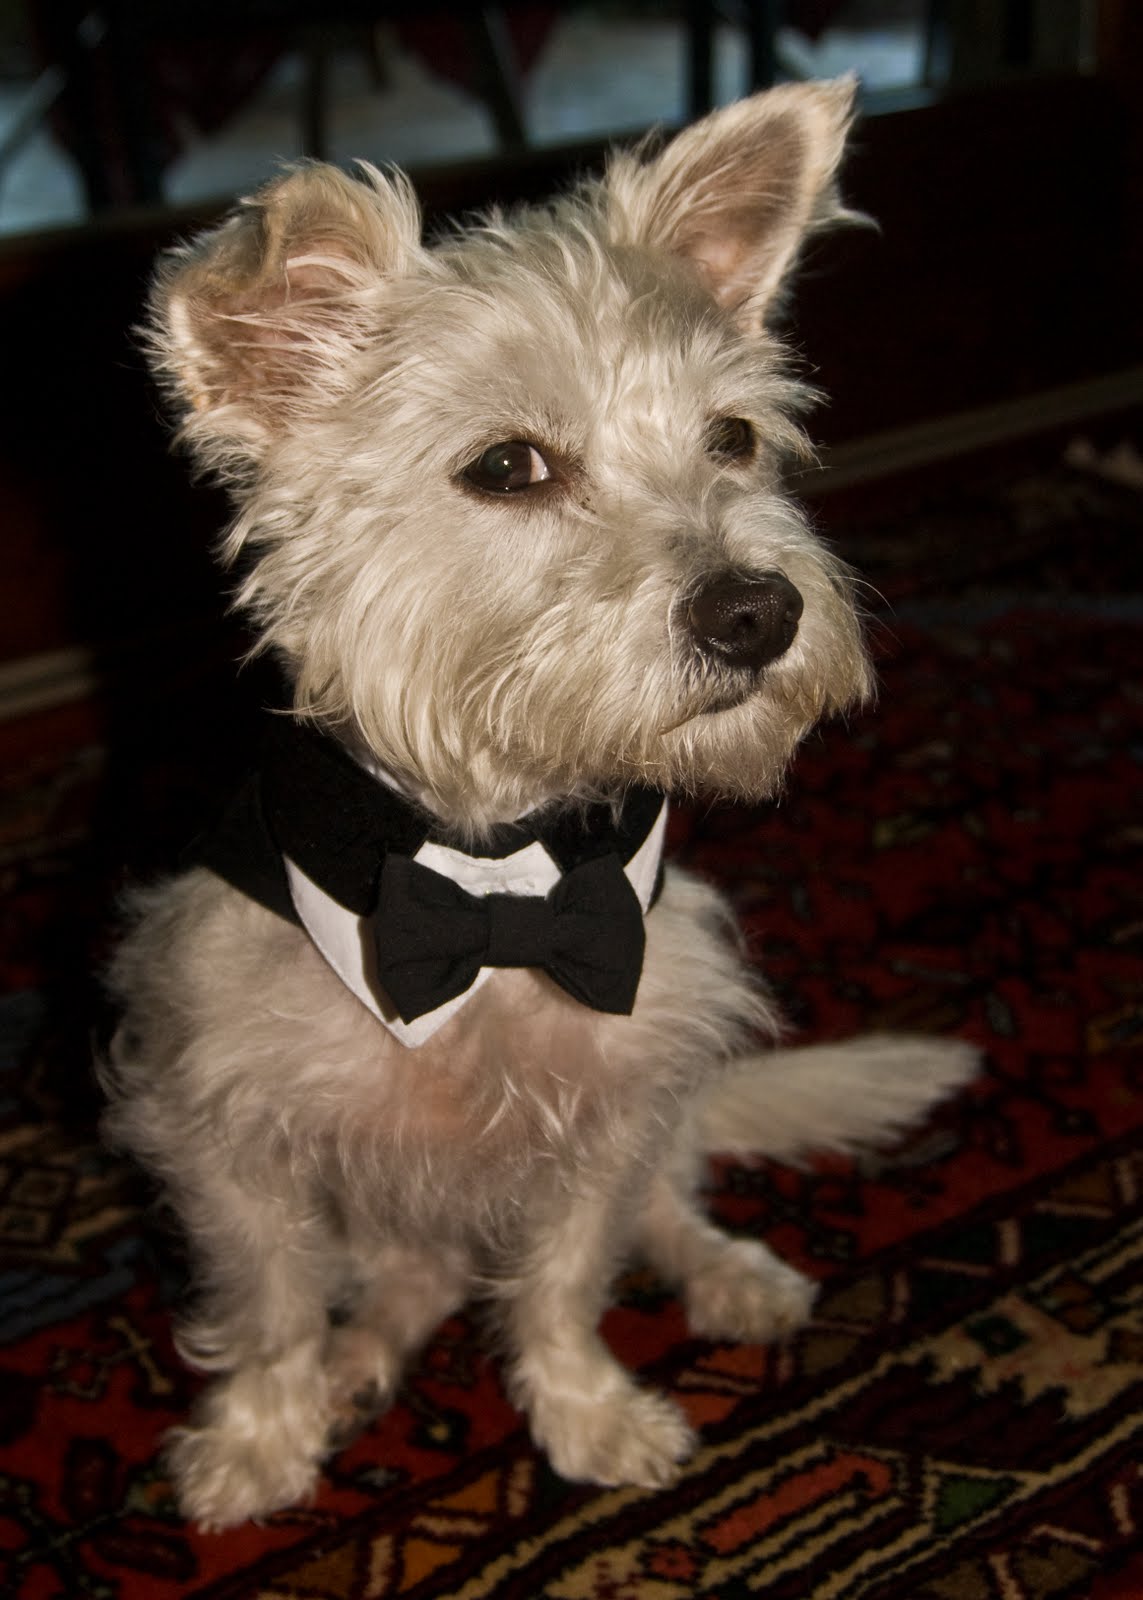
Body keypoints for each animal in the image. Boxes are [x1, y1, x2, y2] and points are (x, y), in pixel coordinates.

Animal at [101, 78, 977, 1530]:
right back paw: (357, 1362)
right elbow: (268, 1308)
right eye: (508, 468)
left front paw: (588, 1415)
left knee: (667, 1199)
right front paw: (256, 1444)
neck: (497, 875)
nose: (758, 611)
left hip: (670, 1096)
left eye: (732, 438)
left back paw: (729, 1273)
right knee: (406, 1280)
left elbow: (565, 1285)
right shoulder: (226, 1140)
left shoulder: (613, 1110)